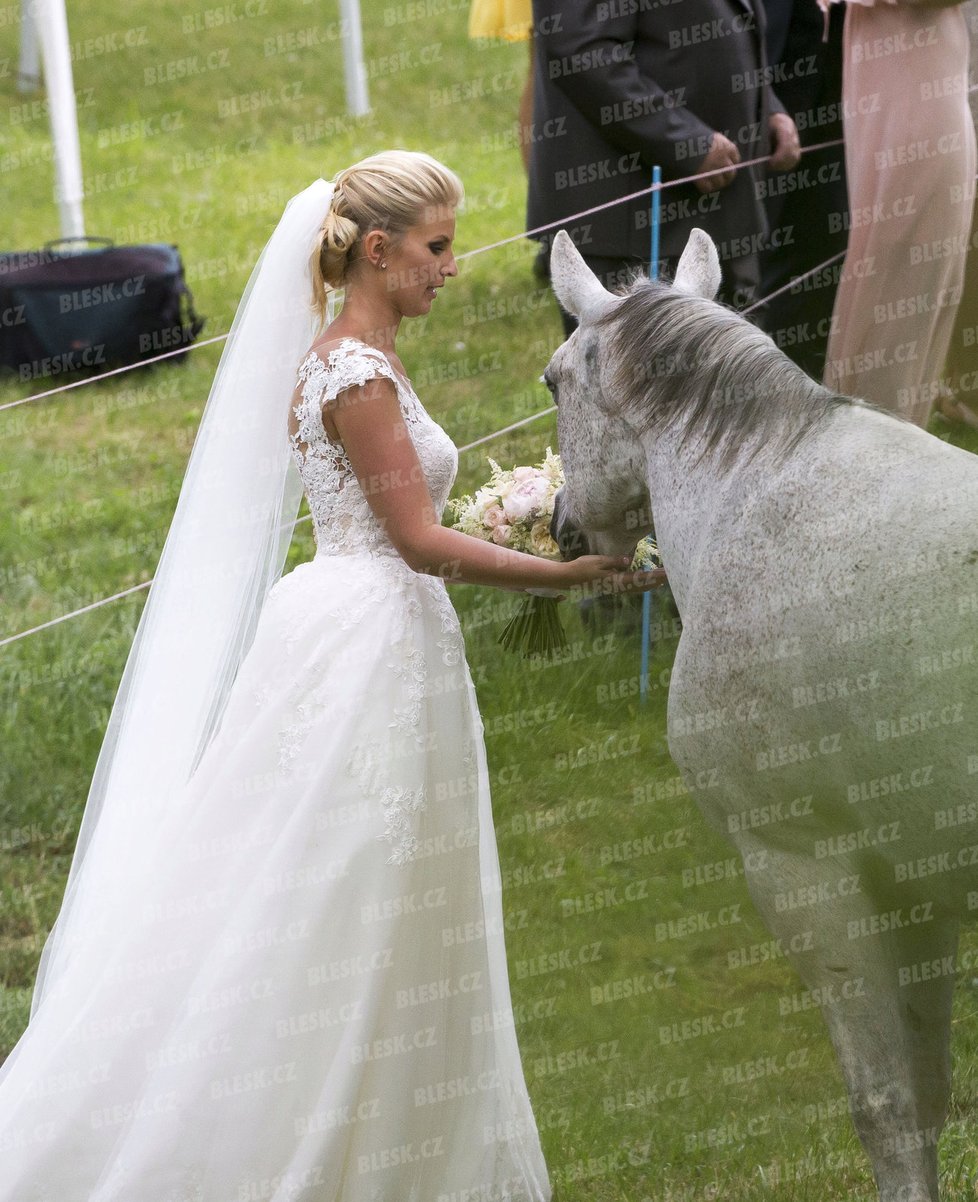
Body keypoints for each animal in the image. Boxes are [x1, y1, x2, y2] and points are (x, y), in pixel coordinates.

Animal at [547, 227, 975, 1202]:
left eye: (552, 382)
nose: (558, 526)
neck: (757, 487)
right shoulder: (917, 884)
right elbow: (930, 1095)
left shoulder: (808, 871)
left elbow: (888, 1108)